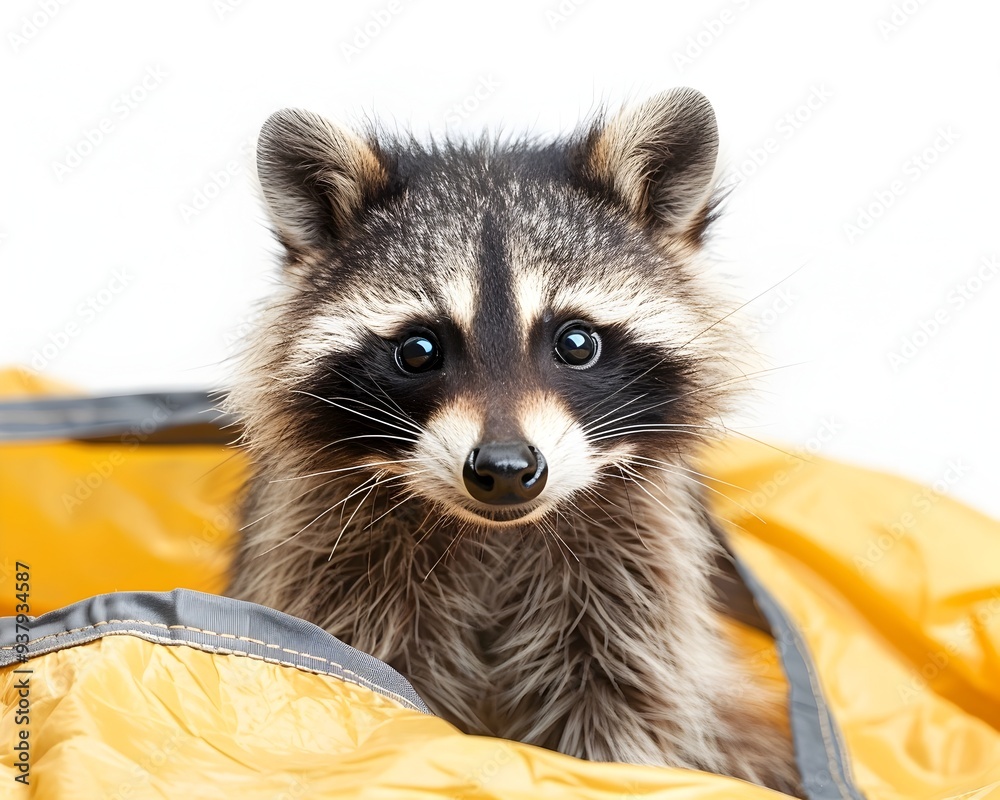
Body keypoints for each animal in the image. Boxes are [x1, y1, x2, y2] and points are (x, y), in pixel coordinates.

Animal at [226, 88, 802, 795]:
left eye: (576, 342)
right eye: (418, 350)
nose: (505, 467)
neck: (495, 534)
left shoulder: (636, 571)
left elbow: (626, 705)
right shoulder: (328, 558)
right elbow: (372, 691)